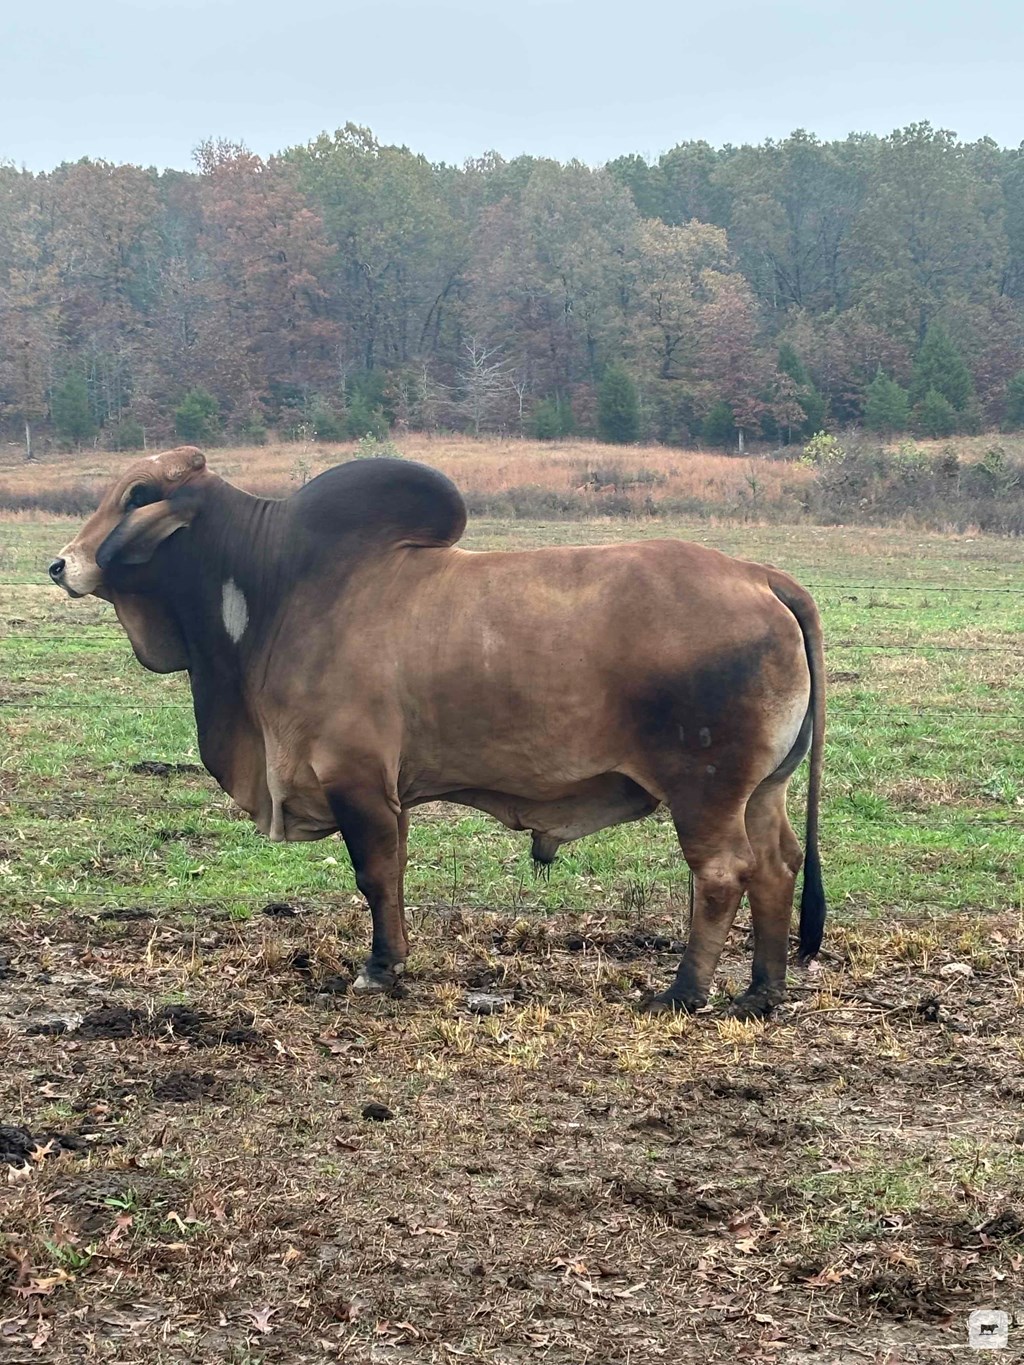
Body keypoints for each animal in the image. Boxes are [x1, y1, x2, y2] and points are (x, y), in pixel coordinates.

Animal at [52, 447, 830, 1015]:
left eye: (137, 494)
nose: (61, 564)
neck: (277, 588)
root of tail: (759, 575)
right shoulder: (382, 790)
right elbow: (392, 873)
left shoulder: (355, 778)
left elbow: (375, 874)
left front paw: (379, 969)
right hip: (763, 789)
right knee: (777, 866)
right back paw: (761, 992)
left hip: (706, 788)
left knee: (722, 874)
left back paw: (685, 991)